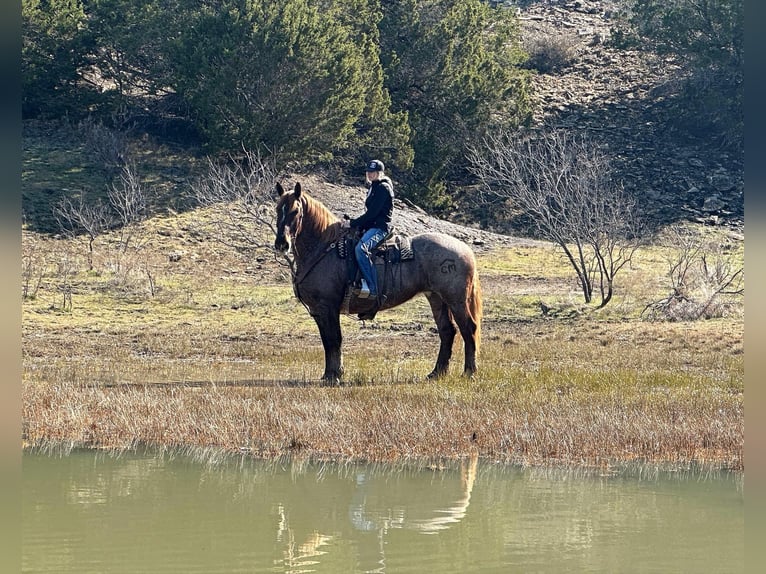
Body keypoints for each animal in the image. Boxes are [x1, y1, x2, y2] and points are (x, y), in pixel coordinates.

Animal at [272, 182, 484, 384]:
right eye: (277, 209)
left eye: (295, 211)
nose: (282, 244)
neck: (323, 248)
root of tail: (464, 249)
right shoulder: (320, 311)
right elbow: (328, 341)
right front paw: (330, 374)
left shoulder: (328, 307)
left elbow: (333, 340)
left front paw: (334, 375)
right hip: (436, 298)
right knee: (447, 331)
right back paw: (437, 372)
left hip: (456, 300)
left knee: (468, 329)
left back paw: (469, 372)